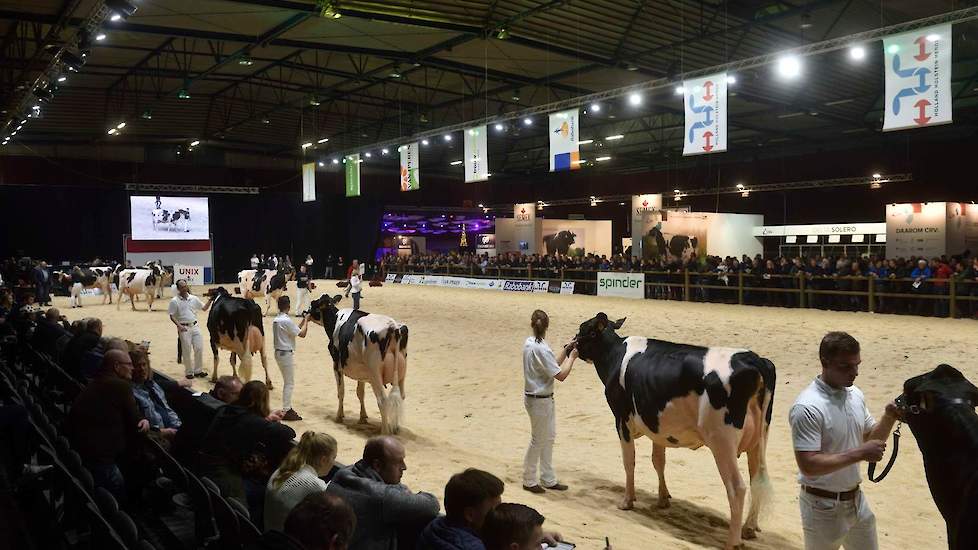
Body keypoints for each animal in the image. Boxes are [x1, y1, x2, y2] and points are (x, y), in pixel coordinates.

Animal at [308, 296, 408, 438]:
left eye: (313, 303)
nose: (305, 312)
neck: (335, 321)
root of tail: (394, 327)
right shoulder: (362, 373)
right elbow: (360, 393)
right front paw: (363, 417)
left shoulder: (336, 365)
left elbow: (341, 391)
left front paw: (339, 416)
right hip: (401, 374)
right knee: (401, 396)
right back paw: (396, 428)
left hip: (375, 374)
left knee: (382, 400)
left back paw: (384, 432)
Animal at [572, 314, 772, 550]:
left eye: (585, 329)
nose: (571, 344)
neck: (615, 354)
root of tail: (754, 360)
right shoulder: (657, 425)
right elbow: (658, 461)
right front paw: (663, 498)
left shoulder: (621, 420)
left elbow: (629, 461)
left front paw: (627, 501)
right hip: (758, 441)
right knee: (756, 480)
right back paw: (749, 528)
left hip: (722, 442)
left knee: (737, 488)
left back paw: (733, 541)